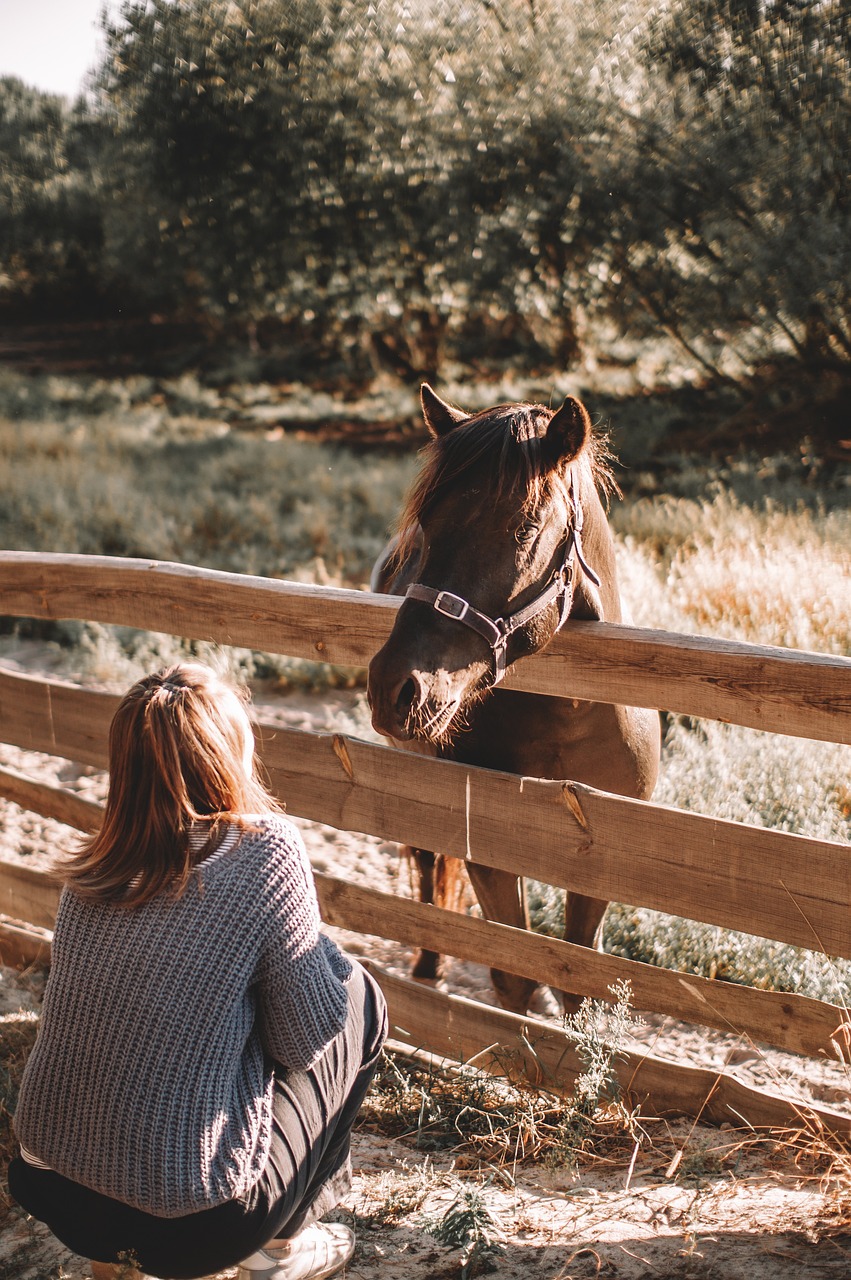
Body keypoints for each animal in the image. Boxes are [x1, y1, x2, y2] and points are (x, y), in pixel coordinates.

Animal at [368, 384, 660, 1013]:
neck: (570, 715)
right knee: (426, 863)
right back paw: (428, 962)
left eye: (526, 528)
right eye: (426, 524)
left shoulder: (602, 855)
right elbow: (515, 975)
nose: (394, 687)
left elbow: (576, 983)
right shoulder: (493, 855)